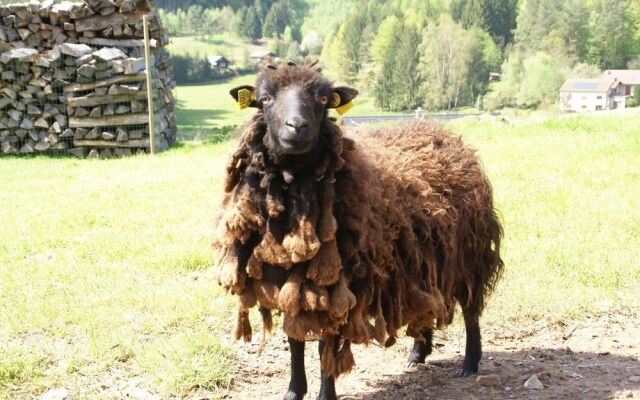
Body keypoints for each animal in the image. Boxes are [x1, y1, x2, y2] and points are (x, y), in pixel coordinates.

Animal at [212, 60, 502, 400]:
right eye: (265, 98)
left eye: (324, 99)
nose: (297, 127)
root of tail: (450, 137)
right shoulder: (287, 280)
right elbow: (295, 342)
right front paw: (294, 391)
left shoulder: (337, 281)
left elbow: (325, 345)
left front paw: (325, 394)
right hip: (423, 260)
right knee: (426, 302)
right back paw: (418, 353)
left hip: (468, 255)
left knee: (470, 309)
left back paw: (470, 362)